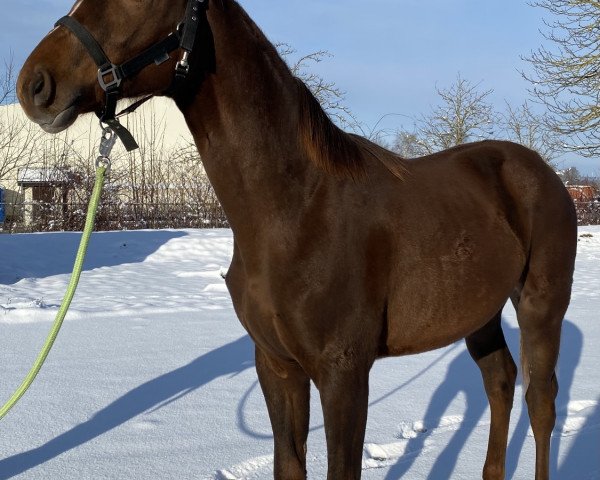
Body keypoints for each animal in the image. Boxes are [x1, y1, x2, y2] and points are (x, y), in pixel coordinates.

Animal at [14, 1, 576, 478]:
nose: (33, 83)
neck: (295, 208)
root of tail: (540, 171)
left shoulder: (343, 373)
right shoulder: (277, 366)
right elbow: (290, 463)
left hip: (540, 307)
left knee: (541, 403)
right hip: (478, 313)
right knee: (500, 382)